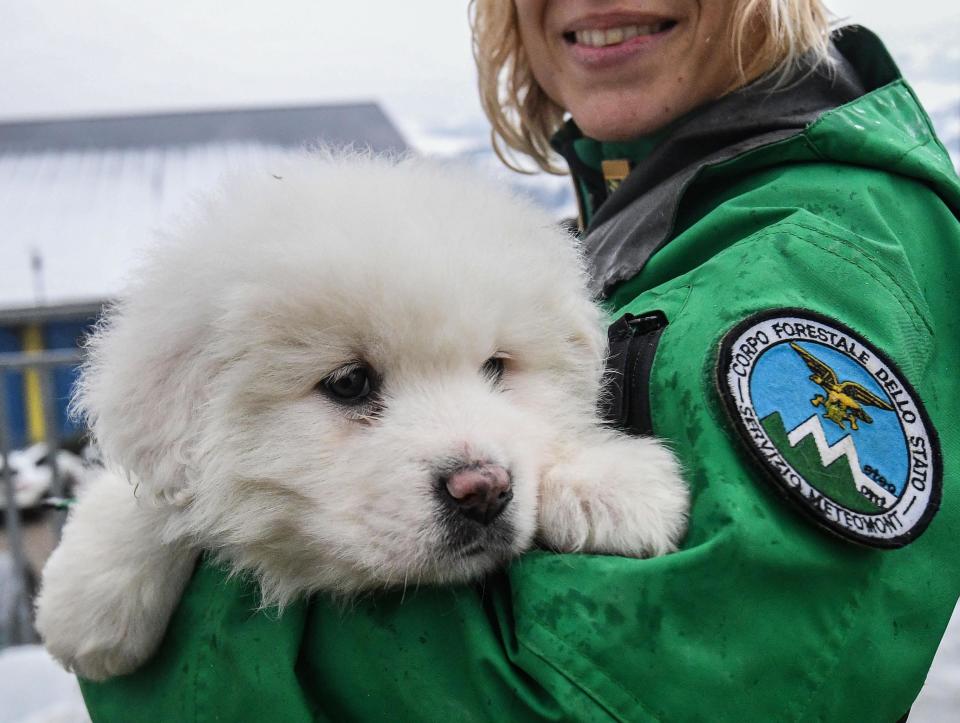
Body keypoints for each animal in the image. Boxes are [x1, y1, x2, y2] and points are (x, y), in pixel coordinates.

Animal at [33, 154, 688, 684]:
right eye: (349, 383)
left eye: (496, 367)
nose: (483, 491)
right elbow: (156, 497)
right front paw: (88, 600)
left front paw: (608, 482)